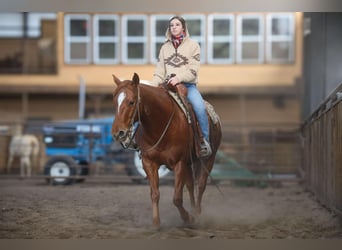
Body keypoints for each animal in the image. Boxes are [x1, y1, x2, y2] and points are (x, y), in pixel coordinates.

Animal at [111, 73, 220, 229]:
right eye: (114, 102)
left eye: (131, 102)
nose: (118, 133)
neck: (160, 124)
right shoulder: (149, 163)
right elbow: (155, 194)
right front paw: (156, 223)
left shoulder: (179, 163)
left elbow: (177, 198)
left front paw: (188, 218)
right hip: (189, 163)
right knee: (190, 185)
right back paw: (193, 211)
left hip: (209, 159)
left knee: (200, 185)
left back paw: (197, 215)